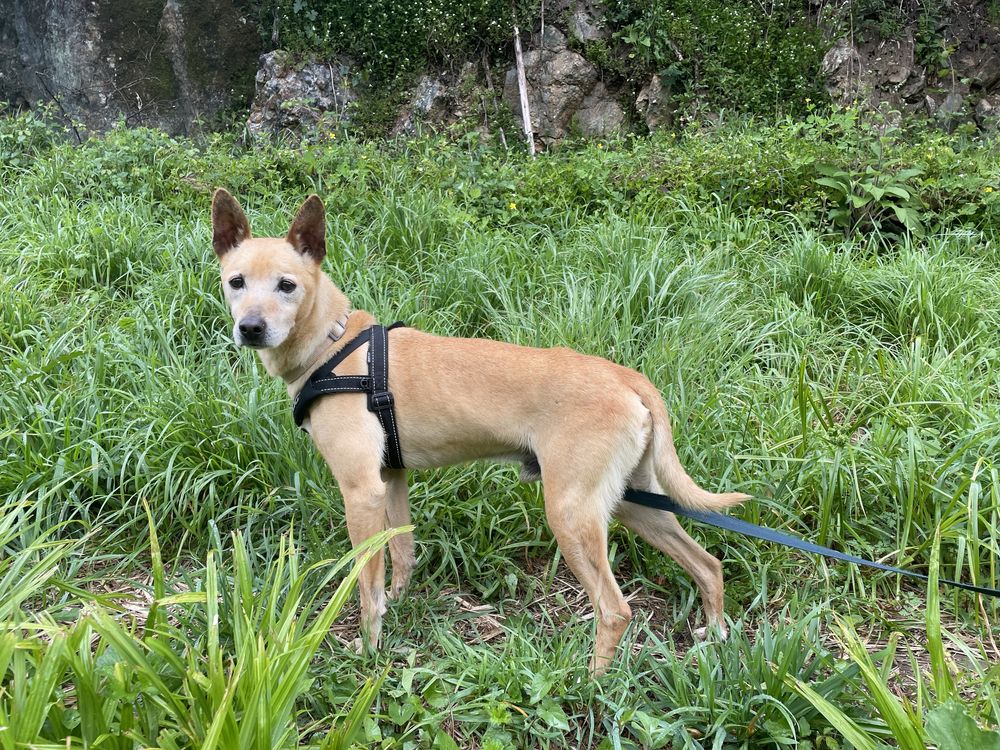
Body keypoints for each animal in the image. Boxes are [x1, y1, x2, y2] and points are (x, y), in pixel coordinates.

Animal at [211, 188, 748, 676]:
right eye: (236, 282)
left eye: (287, 285)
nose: (250, 328)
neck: (334, 343)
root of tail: (625, 376)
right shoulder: (391, 480)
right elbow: (402, 556)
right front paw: (398, 606)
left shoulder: (360, 491)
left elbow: (366, 585)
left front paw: (368, 650)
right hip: (633, 503)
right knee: (708, 564)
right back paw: (715, 637)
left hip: (572, 513)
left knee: (615, 609)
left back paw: (590, 682)